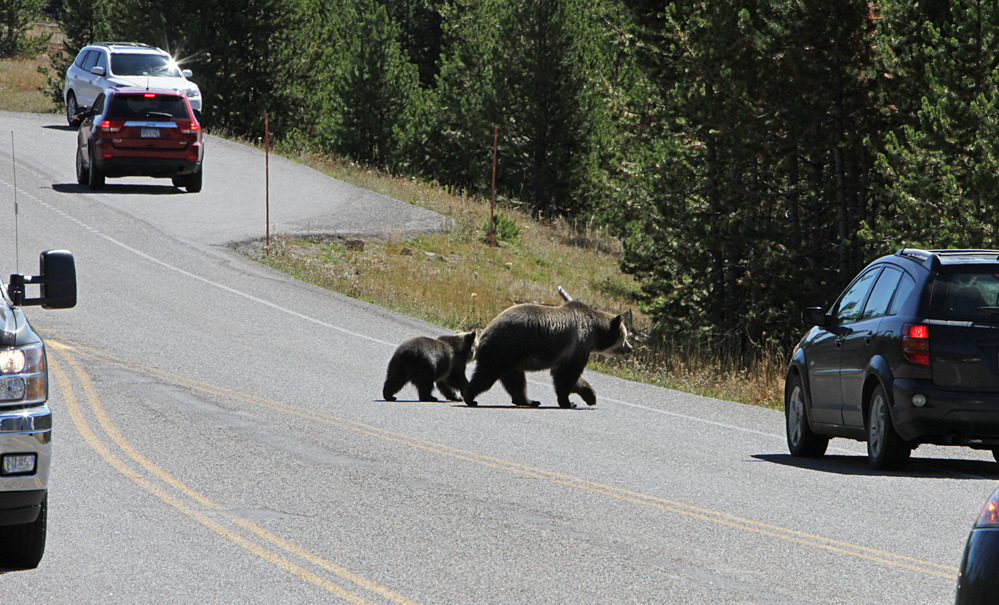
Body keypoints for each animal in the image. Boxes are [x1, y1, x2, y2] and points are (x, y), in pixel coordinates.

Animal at [462, 300, 633, 408]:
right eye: (625, 336)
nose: (630, 348)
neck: (595, 333)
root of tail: (484, 334)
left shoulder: (566, 353)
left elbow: (563, 374)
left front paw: (590, 396)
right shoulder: (578, 344)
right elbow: (568, 374)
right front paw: (569, 402)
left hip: (512, 356)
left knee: (515, 379)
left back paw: (528, 401)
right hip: (505, 347)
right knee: (488, 374)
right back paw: (469, 396)